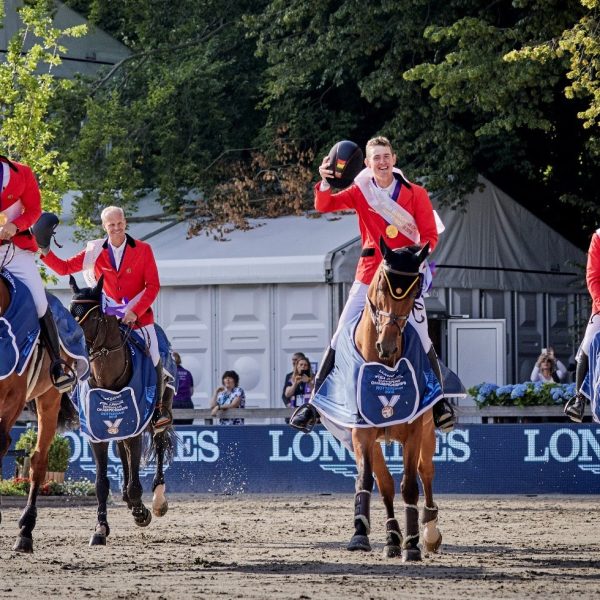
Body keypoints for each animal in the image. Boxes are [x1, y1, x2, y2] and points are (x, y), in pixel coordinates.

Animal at [71, 274, 173, 548]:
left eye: (93, 316)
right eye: (70, 312)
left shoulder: (136, 428)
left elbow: (136, 483)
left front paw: (141, 512)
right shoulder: (96, 435)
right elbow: (101, 483)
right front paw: (100, 529)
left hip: (159, 414)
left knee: (159, 445)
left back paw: (157, 500)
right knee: (123, 452)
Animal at [350, 240, 442, 564]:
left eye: (415, 293)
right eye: (381, 285)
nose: (387, 346)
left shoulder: (414, 432)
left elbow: (411, 486)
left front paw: (413, 545)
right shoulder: (361, 432)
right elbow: (368, 480)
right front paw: (360, 534)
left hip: (428, 435)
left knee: (426, 473)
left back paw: (429, 531)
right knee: (386, 484)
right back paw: (391, 538)